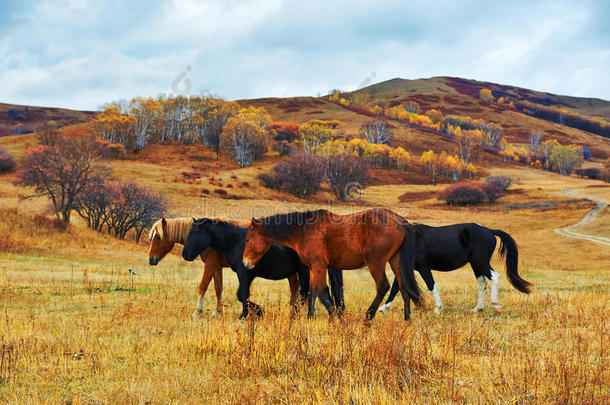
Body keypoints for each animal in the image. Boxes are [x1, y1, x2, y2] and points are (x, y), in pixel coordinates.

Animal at [180, 219, 344, 318]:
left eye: (194, 232)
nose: (185, 254)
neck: (236, 241)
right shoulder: (248, 275)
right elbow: (241, 295)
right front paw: (258, 311)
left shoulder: (243, 273)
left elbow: (243, 295)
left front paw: (247, 314)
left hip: (304, 271)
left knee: (307, 293)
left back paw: (299, 315)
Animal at [240, 207, 420, 320]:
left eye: (248, 239)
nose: (245, 263)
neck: (305, 231)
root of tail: (402, 222)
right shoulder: (313, 269)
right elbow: (312, 292)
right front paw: (311, 318)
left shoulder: (319, 266)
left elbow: (323, 294)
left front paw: (336, 319)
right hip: (395, 261)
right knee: (404, 289)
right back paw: (407, 320)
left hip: (376, 263)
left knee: (383, 286)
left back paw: (368, 318)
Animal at [378, 221, 528, 312]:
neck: (412, 240)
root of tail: (489, 231)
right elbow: (395, 288)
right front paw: (384, 308)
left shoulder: (424, 268)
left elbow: (431, 285)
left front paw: (438, 308)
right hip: (476, 265)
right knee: (482, 284)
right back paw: (477, 309)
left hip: (480, 263)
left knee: (494, 277)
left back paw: (495, 303)